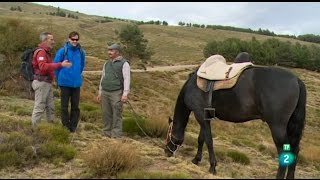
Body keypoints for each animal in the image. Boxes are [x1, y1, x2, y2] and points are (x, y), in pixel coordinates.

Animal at [166, 66, 306, 179]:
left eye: (168, 133)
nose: (167, 151)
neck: (192, 86)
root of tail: (297, 80)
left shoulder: (199, 113)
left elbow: (209, 141)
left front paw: (212, 167)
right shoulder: (205, 117)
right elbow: (202, 138)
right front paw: (196, 159)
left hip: (277, 127)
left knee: (284, 151)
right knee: (295, 149)